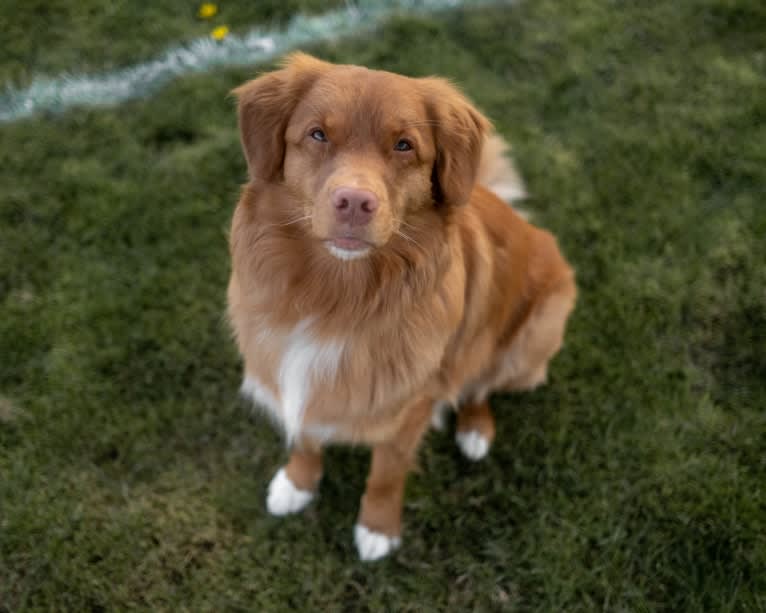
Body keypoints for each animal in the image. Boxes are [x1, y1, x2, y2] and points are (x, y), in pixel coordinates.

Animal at [228, 52, 576, 560]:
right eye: (317, 135)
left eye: (404, 145)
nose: (355, 201)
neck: (336, 296)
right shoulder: (291, 371)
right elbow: (306, 434)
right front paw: (298, 482)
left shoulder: (407, 410)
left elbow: (386, 475)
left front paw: (377, 528)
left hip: (537, 330)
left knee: (480, 383)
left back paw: (474, 431)